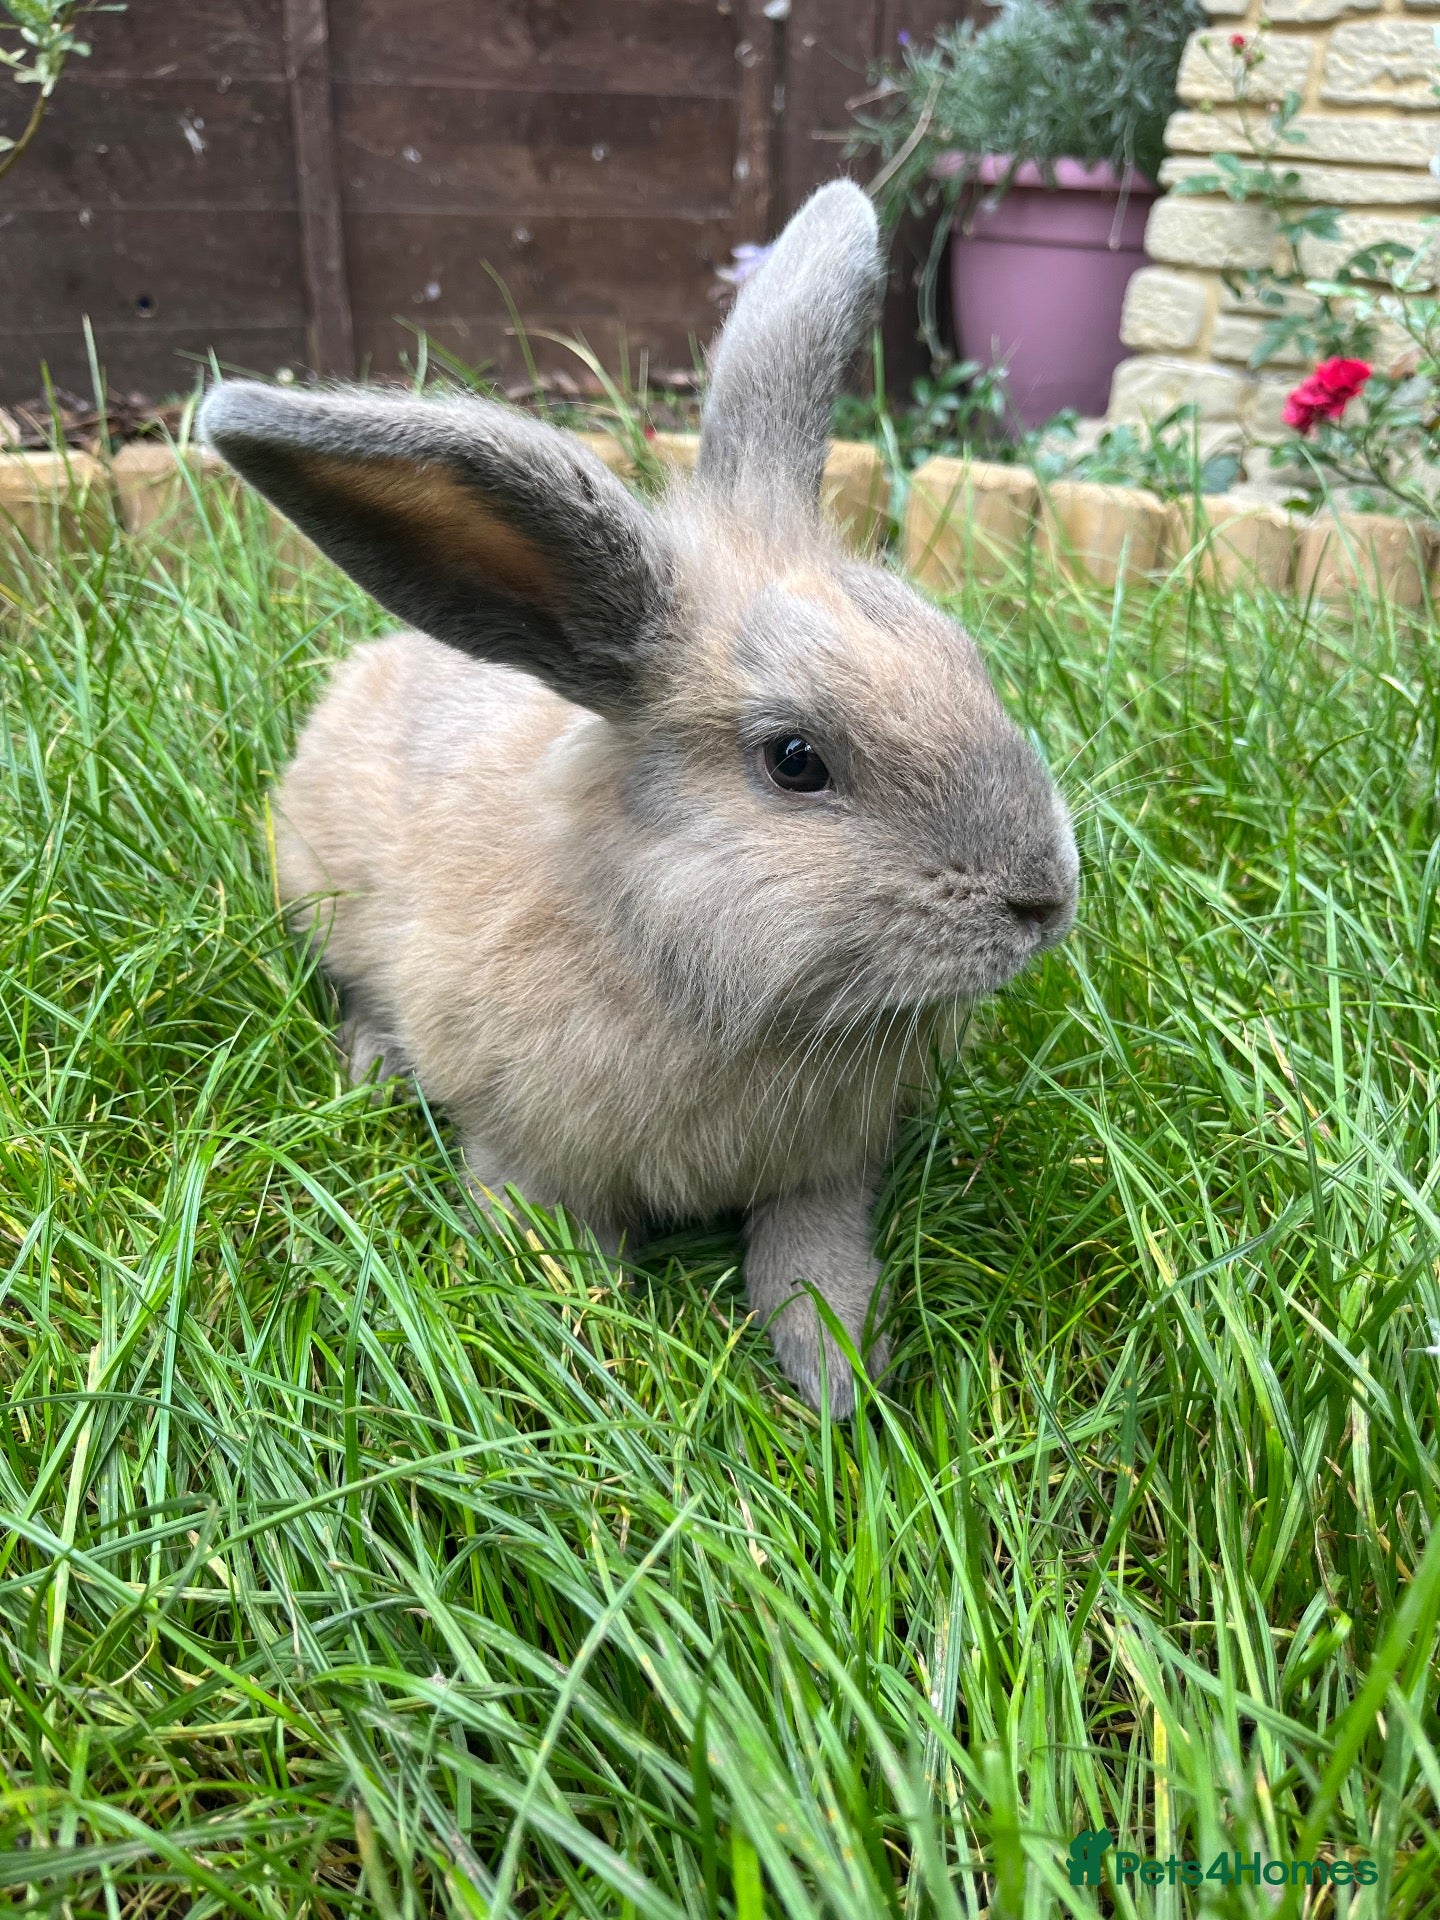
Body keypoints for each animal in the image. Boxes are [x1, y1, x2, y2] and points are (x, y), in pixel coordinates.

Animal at [200, 180, 1079, 1417]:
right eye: (794, 760)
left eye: (965, 657)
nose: (1045, 898)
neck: (682, 963)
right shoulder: (526, 1148)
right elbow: (555, 1253)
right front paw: (591, 1365)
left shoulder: (827, 1171)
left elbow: (814, 1259)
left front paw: (838, 1378)